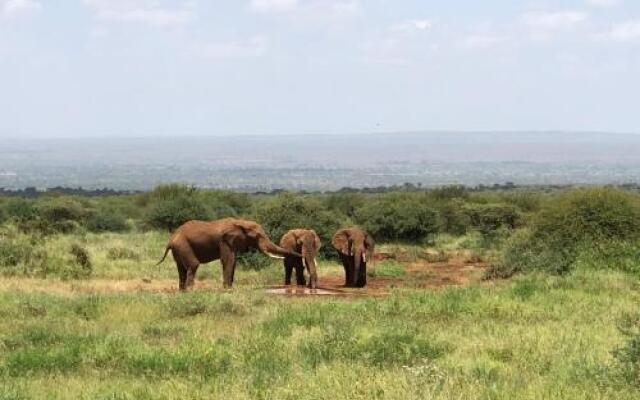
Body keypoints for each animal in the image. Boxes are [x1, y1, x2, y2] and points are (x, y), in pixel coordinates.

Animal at [159, 219, 302, 290]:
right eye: (258, 236)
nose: (301, 255)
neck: (241, 222)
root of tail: (171, 239)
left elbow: (233, 262)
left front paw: (230, 288)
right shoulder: (224, 241)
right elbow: (228, 260)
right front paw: (227, 289)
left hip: (179, 249)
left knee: (181, 269)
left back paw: (182, 291)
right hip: (183, 246)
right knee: (193, 265)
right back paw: (190, 291)